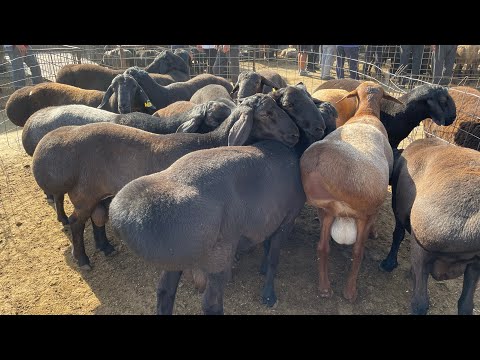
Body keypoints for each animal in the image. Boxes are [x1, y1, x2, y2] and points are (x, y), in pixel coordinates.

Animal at [31, 94, 296, 268]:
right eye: (267, 113)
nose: (295, 135)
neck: (211, 141)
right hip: (84, 193)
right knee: (77, 222)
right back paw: (83, 259)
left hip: (96, 193)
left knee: (97, 216)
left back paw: (105, 247)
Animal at [378, 138, 480, 316]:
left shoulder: (399, 210)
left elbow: (397, 235)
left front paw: (389, 263)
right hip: (474, 264)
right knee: (465, 304)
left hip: (422, 248)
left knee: (419, 303)